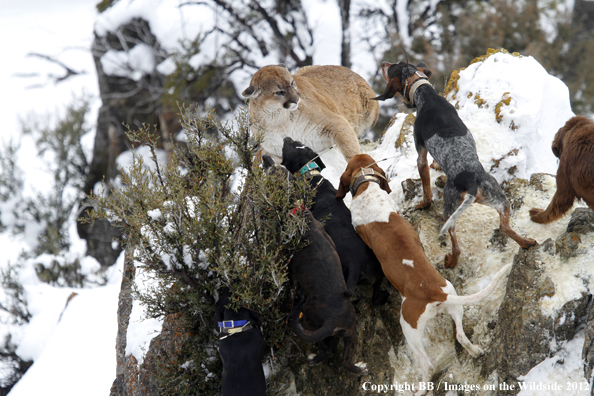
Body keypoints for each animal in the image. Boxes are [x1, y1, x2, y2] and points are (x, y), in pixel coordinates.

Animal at [262, 155, 366, 374]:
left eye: (273, 171)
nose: (265, 157)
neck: (295, 212)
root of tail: (332, 320)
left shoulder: (290, 271)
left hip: (308, 322)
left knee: (326, 351)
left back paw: (312, 358)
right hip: (350, 329)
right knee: (345, 360)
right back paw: (360, 367)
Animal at [280, 138, 386, 304]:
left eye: (289, 147)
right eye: (297, 143)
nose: (286, 138)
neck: (311, 177)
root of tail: (356, 263)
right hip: (378, 273)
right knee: (375, 297)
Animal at [336, 153, 512, 394]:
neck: (367, 185)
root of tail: (435, 294)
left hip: (408, 328)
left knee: (427, 365)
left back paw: (420, 389)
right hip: (453, 299)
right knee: (460, 335)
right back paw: (475, 351)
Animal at [372, 59, 536, 270]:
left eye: (392, 67)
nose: (383, 63)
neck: (425, 93)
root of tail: (473, 185)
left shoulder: (420, 155)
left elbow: (426, 189)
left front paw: (423, 204)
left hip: (449, 211)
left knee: (457, 247)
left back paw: (450, 261)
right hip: (500, 199)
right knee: (505, 227)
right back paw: (526, 242)